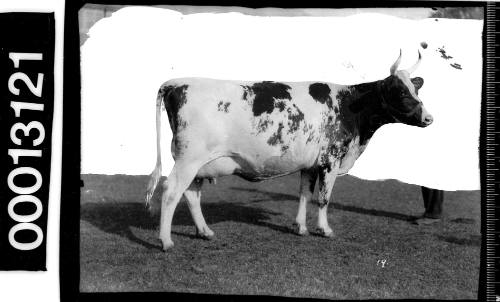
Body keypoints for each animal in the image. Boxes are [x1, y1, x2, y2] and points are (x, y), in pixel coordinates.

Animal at [146, 50, 434, 251]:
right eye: (401, 92)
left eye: (416, 89)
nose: (429, 118)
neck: (350, 108)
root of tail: (176, 82)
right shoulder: (331, 159)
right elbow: (324, 198)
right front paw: (324, 230)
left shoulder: (310, 164)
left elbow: (304, 195)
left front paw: (300, 227)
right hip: (188, 159)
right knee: (171, 192)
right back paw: (165, 241)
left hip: (199, 163)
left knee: (191, 194)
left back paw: (205, 232)